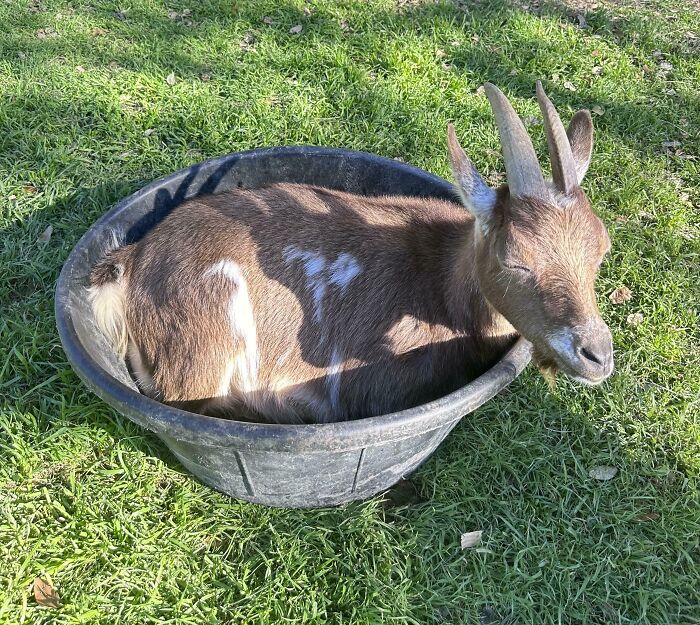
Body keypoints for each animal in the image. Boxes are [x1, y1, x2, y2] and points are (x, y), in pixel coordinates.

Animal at [88, 82, 614, 424]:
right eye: (515, 259)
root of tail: (132, 262)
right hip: (205, 342)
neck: (442, 286)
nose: (598, 356)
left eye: (600, 249)